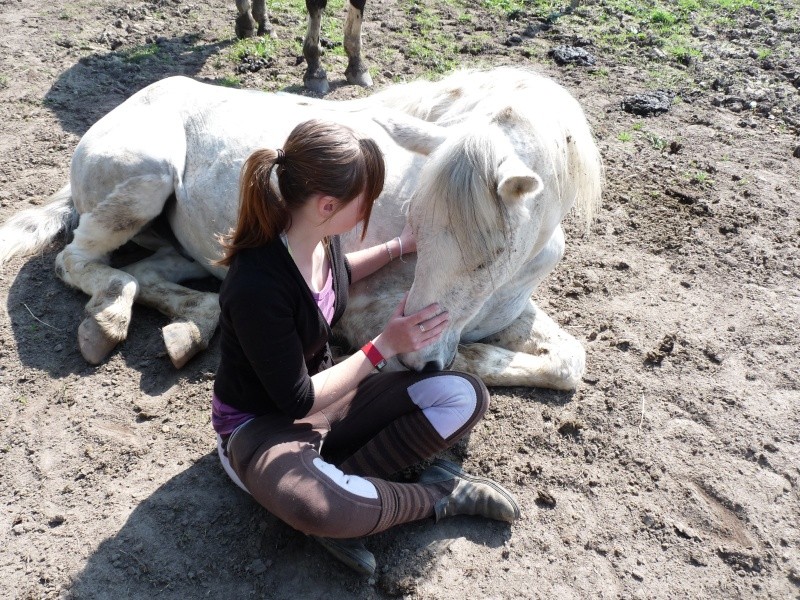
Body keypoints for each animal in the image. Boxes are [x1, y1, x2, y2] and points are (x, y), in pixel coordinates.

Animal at [0, 67, 600, 390]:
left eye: (489, 256)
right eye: (418, 229)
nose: (420, 360)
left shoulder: (510, 310)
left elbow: (570, 361)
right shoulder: (366, 315)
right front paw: (458, 362)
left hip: (191, 248)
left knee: (149, 275)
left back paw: (187, 326)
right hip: (144, 179)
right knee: (78, 261)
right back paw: (106, 322)